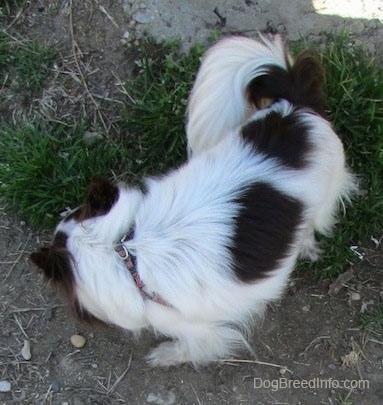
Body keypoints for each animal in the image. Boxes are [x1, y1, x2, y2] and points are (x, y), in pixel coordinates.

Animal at [30, 35, 356, 366]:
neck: (125, 251)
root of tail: (295, 107)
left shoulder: (194, 328)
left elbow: (188, 347)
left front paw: (164, 356)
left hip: (326, 194)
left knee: (313, 223)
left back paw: (305, 245)